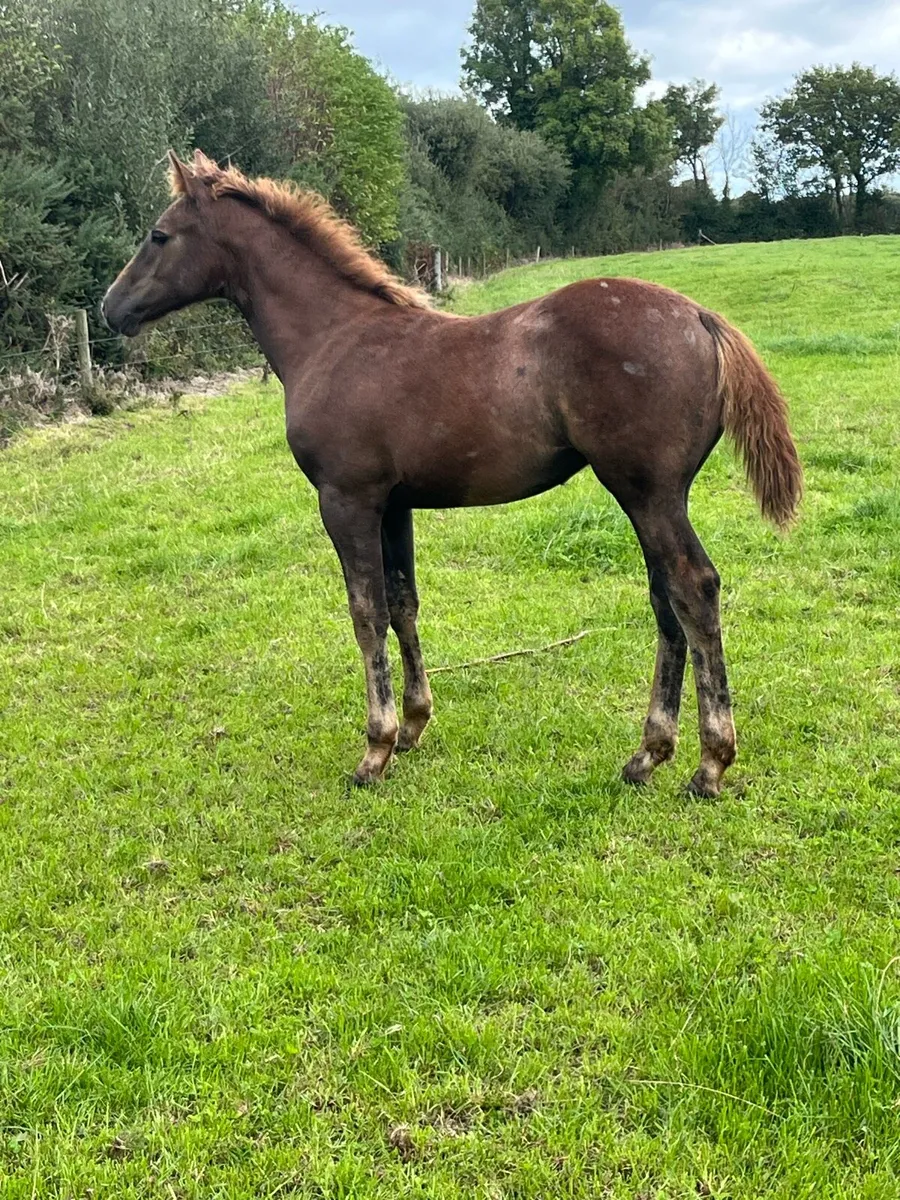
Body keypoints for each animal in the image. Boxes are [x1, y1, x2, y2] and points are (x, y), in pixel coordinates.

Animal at [102, 151, 802, 798]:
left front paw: (376, 748)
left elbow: (365, 611)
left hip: (647, 492)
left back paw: (709, 763)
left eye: (159, 235)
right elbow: (401, 601)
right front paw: (414, 725)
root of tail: (701, 318)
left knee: (693, 588)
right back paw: (648, 755)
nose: (112, 310)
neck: (333, 338)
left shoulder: (345, 499)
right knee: (665, 599)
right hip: (651, 497)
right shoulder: (393, 504)